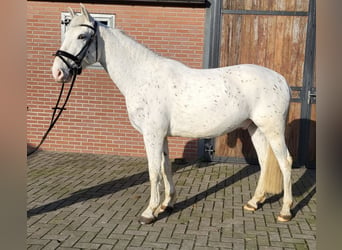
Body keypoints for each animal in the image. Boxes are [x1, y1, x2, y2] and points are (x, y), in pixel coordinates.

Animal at [52, 4, 292, 223]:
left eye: (82, 36)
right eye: (66, 31)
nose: (58, 72)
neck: (142, 76)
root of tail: (281, 80)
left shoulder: (152, 134)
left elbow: (153, 171)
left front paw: (149, 212)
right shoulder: (162, 135)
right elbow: (165, 167)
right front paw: (166, 204)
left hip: (272, 129)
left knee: (285, 162)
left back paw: (285, 212)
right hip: (255, 128)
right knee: (264, 161)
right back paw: (254, 202)